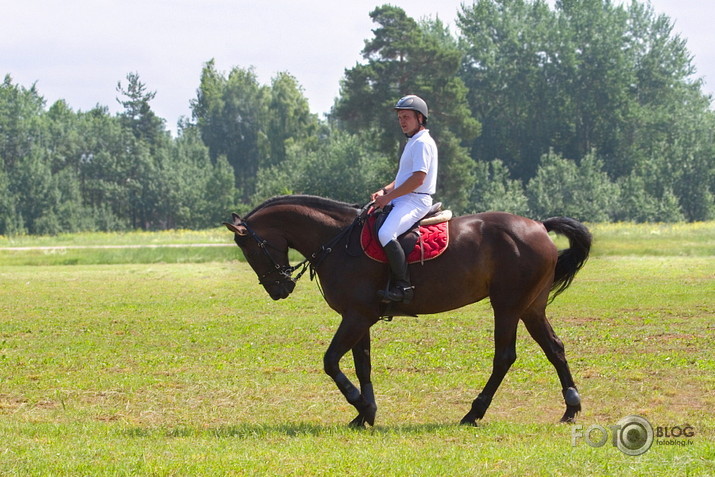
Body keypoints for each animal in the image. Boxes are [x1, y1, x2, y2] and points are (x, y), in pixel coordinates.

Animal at [225, 195, 592, 426]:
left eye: (249, 248)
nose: (279, 289)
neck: (338, 240)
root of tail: (539, 226)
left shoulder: (357, 317)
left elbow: (331, 361)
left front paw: (361, 406)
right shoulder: (359, 317)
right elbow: (362, 365)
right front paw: (365, 413)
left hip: (507, 306)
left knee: (504, 357)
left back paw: (473, 413)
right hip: (531, 307)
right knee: (554, 348)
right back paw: (571, 408)